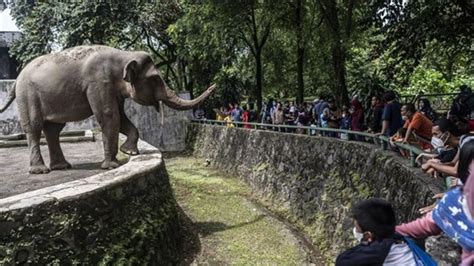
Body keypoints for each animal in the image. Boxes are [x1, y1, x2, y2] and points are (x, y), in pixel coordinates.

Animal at [0, 45, 215, 175]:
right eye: (155, 79)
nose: (214, 85)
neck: (124, 55)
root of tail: (16, 80)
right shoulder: (99, 83)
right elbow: (109, 116)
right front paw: (112, 165)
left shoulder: (112, 89)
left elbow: (121, 117)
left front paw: (129, 152)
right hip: (28, 96)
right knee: (34, 128)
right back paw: (41, 170)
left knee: (53, 130)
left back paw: (62, 166)